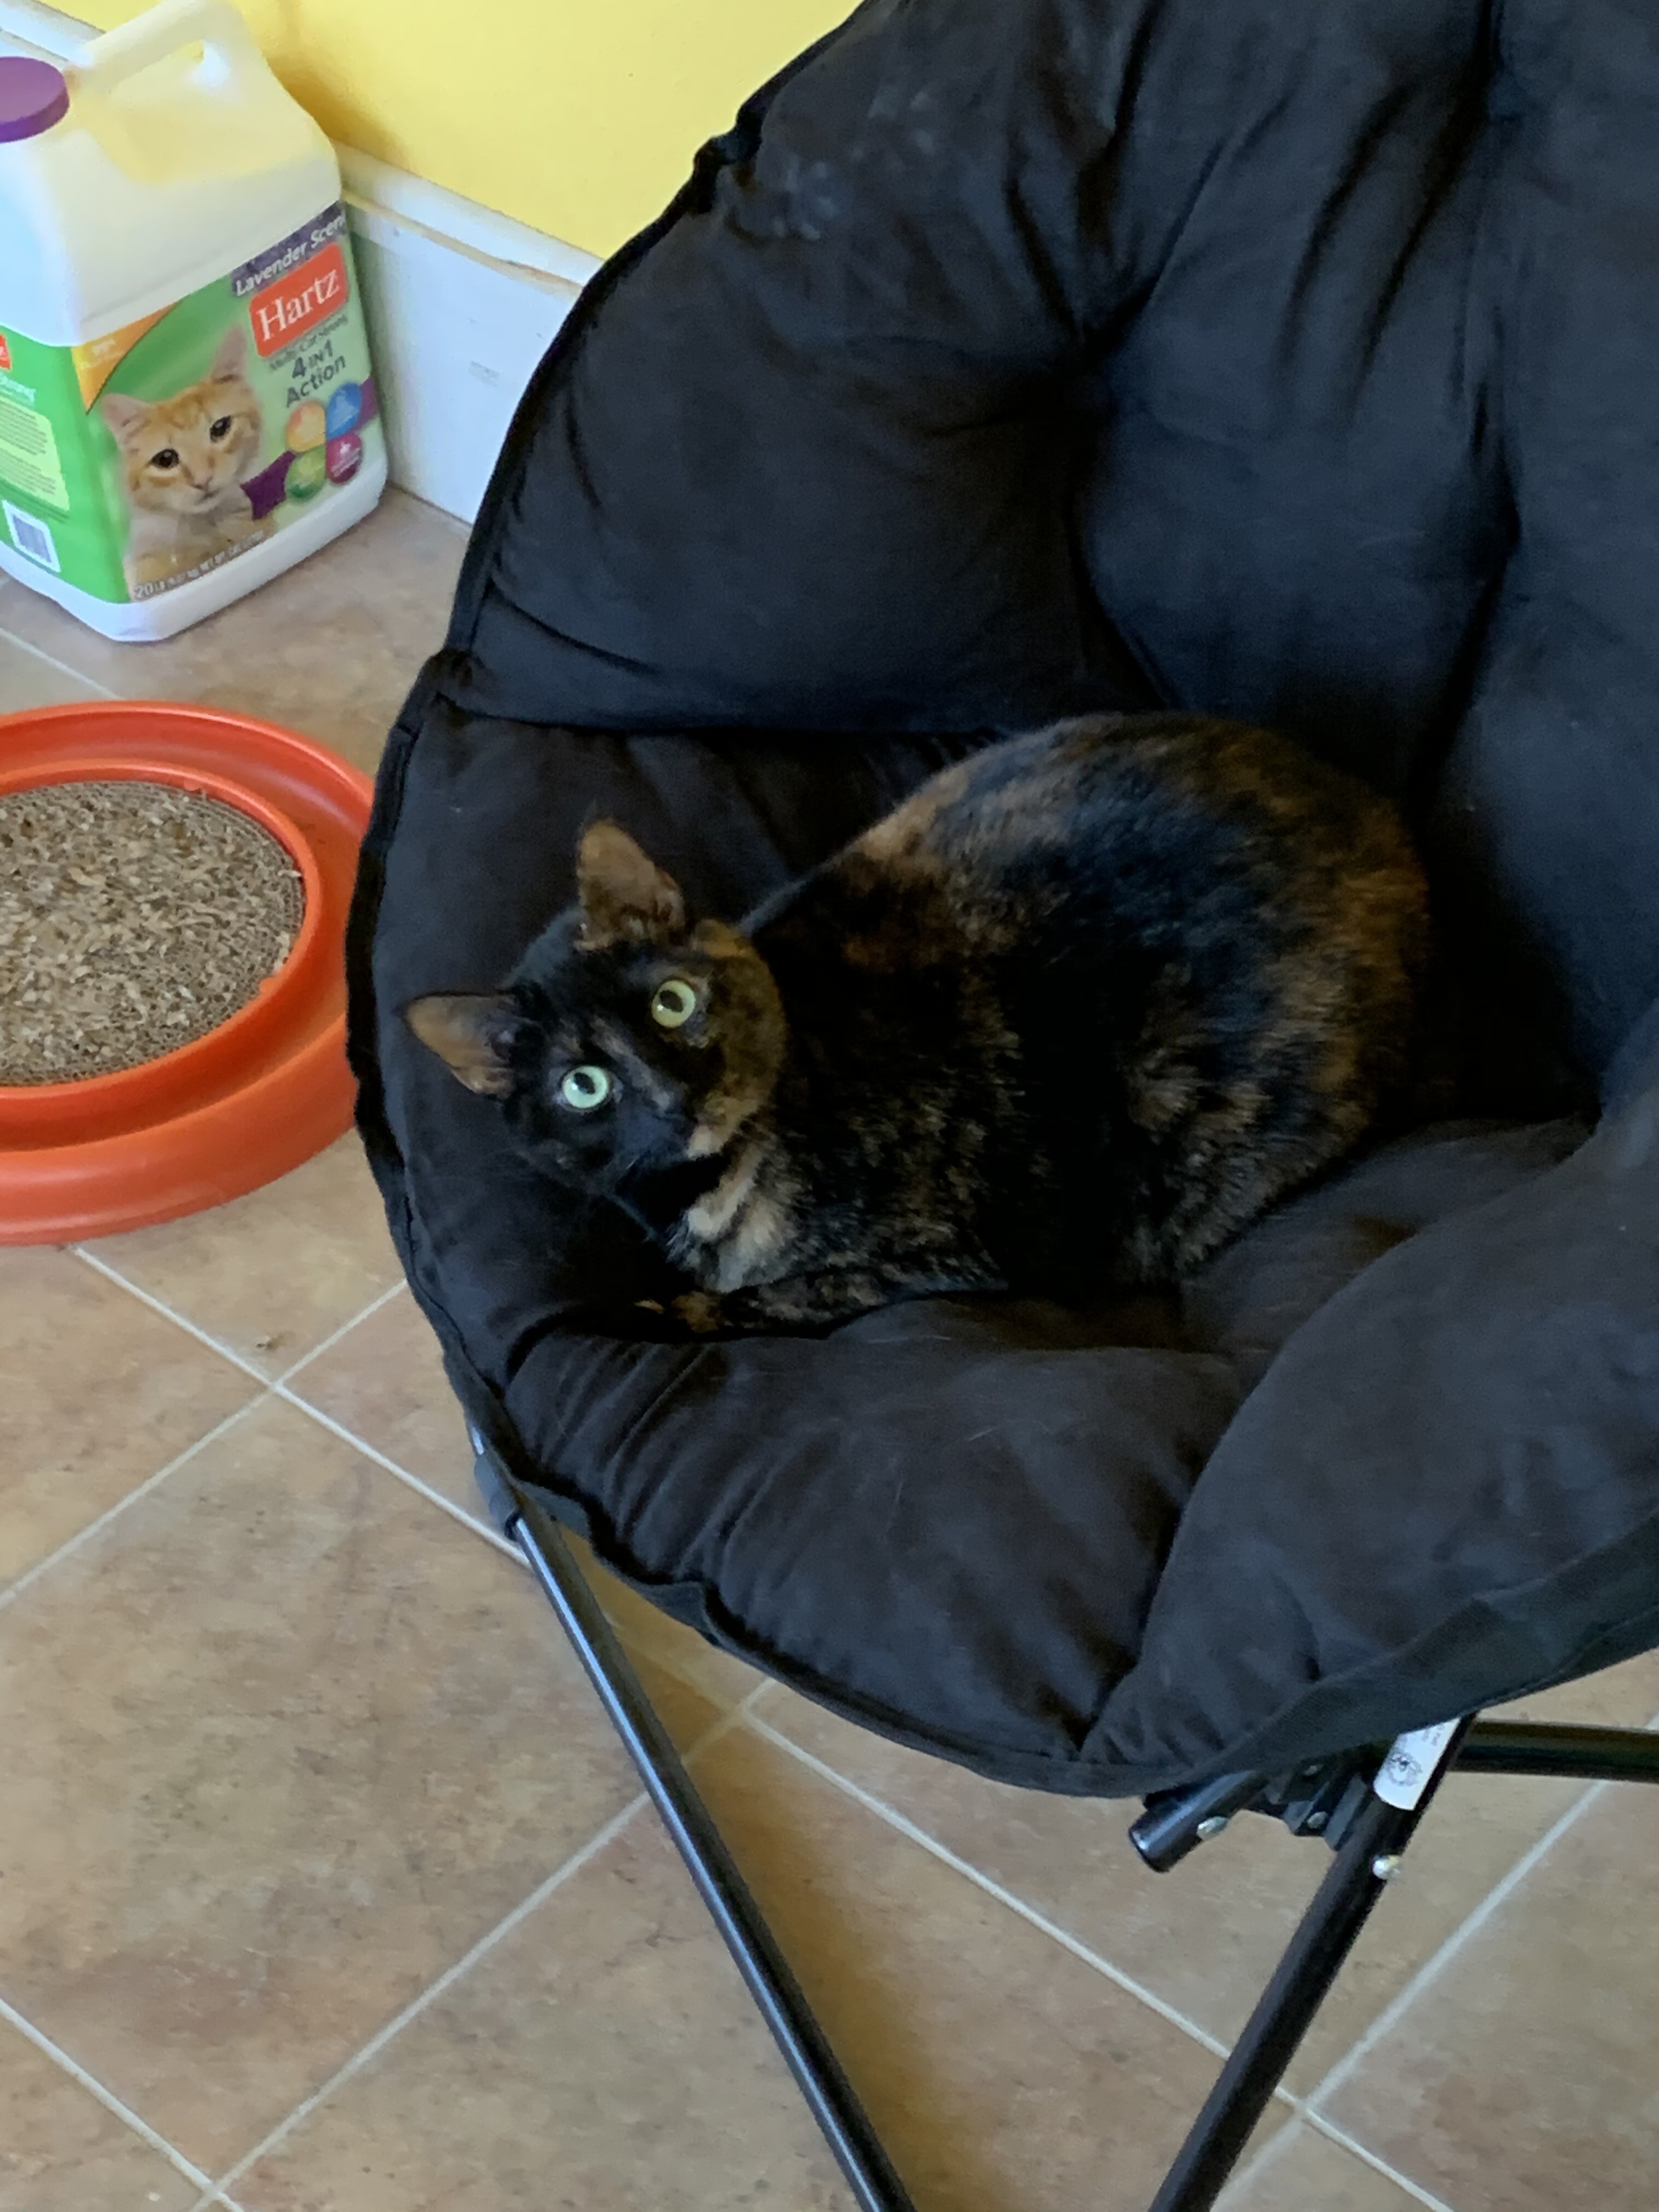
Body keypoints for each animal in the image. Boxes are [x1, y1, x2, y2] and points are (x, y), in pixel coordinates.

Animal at [409, 716, 1433, 1327]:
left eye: (672, 1001)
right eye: (583, 1084)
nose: (671, 1096)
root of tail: (1385, 823)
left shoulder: (943, 1258)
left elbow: (768, 1301)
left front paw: (675, 1312)